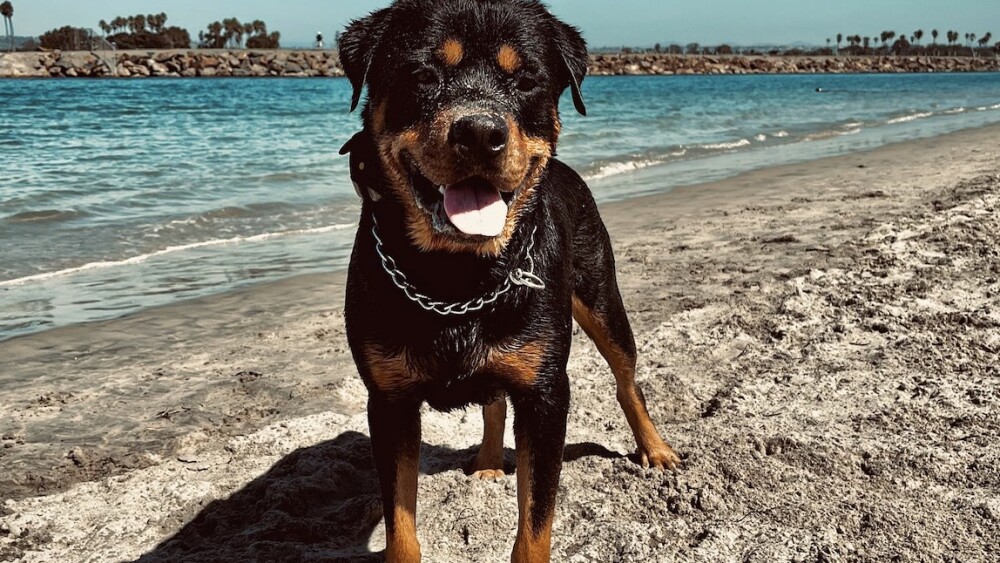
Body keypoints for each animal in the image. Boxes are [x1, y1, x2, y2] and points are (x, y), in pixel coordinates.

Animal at [338, 2, 680, 560]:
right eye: (423, 74)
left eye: (525, 80)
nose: (479, 131)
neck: (456, 278)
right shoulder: (389, 401)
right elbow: (401, 524)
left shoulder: (546, 395)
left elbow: (536, 521)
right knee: (494, 399)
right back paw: (489, 460)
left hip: (600, 297)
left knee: (627, 379)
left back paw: (655, 449)